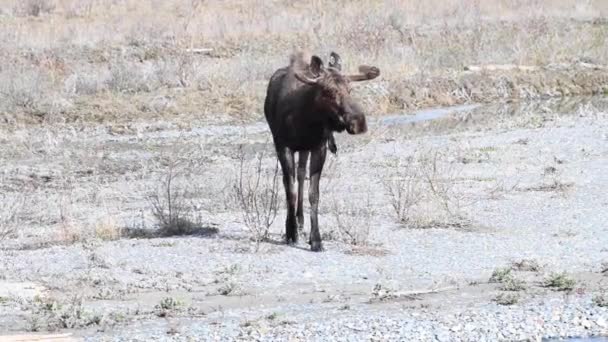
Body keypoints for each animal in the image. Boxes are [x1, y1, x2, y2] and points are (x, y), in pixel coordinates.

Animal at [262, 51, 378, 251]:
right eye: (329, 92)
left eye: (350, 89)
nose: (359, 122)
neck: (306, 120)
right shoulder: (283, 147)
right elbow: (290, 190)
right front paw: (290, 232)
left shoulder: (318, 148)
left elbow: (313, 194)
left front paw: (315, 239)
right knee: (292, 180)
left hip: (304, 149)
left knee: (301, 174)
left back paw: (300, 220)